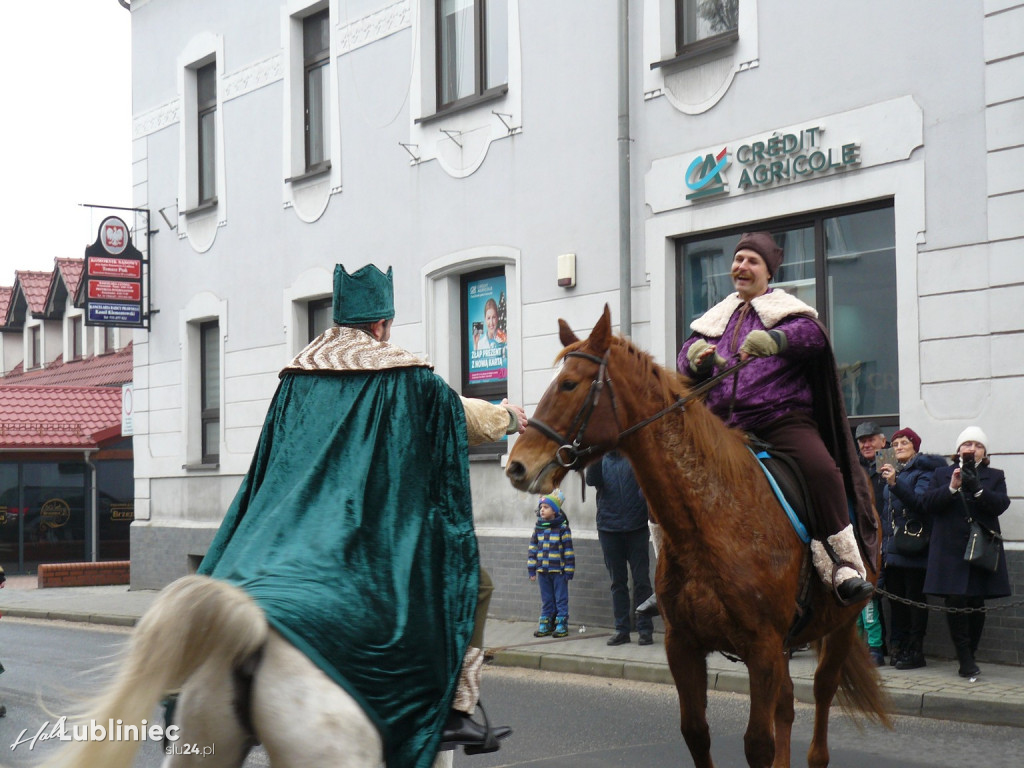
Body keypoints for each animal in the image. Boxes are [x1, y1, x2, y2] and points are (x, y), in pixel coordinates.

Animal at [505, 309, 888, 768]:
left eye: (569, 384)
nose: (517, 466)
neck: (713, 517)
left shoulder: (761, 649)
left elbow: (757, 743)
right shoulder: (684, 646)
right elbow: (696, 732)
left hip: (841, 625)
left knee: (822, 695)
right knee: (787, 704)